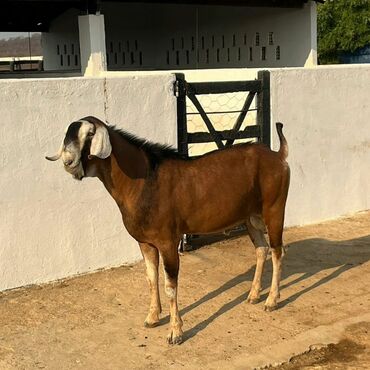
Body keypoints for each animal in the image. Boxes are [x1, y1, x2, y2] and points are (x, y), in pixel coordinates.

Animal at [45, 117, 290, 346]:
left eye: (90, 134)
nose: (68, 161)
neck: (143, 181)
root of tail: (278, 156)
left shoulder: (168, 241)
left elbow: (170, 285)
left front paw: (175, 333)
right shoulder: (145, 242)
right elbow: (151, 278)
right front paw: (152, 318)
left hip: (274, 208)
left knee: (277, 251)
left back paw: (271, 301)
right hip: (250, 217)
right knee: (261, 249)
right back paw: (253, 295)